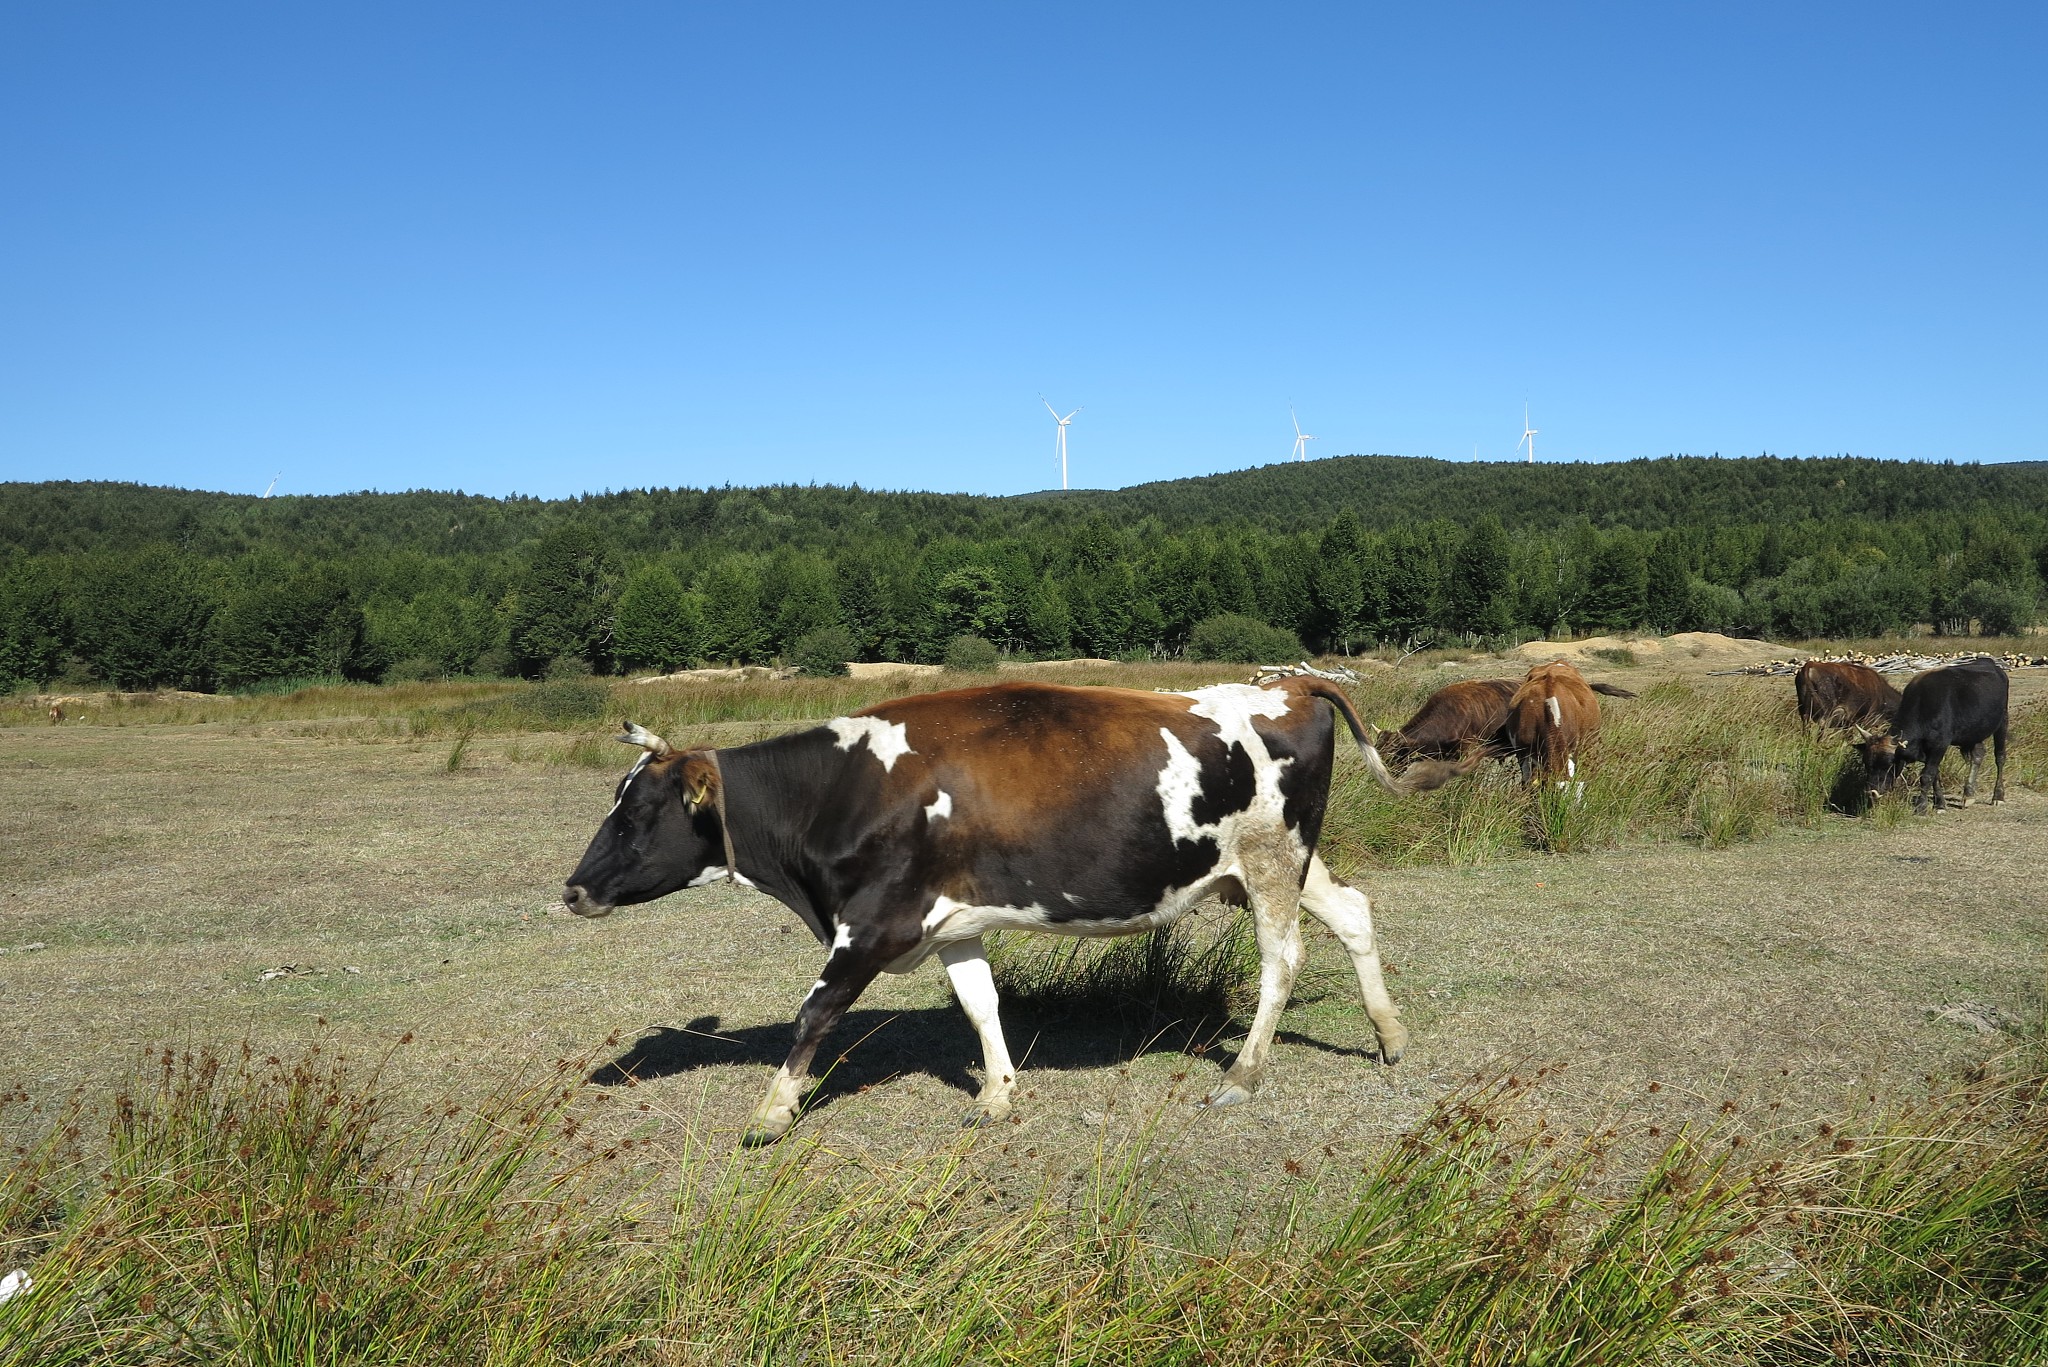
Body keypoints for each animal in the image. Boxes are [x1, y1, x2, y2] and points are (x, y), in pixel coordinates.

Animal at [561, 679, 1408, 1146]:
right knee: (1355, 912)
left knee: (1282, 959)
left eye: (638, 814)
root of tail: (1289, 683)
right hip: (1284, 864)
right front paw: (998, 1092)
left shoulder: (874, 923)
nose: (572, 889)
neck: (839, 790)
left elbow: (814, 1012)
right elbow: (980, 1004)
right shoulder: (951, 925)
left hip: (1269, 863)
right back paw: (1389, 1035)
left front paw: (771, 1110)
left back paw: (1244, 1072)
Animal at [1853, 657, 2008, 811]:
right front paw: (1940, 803)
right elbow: (1935, 775)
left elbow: (1927, 775)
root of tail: (1989, 662)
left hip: (2002, 723)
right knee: (1978, 755)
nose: (1872, 792)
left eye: (1889, 764)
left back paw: (1998, 796)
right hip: (1973, 733)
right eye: (1866, 763)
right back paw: (1968, 795)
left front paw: (1921, 806)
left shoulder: (1939, 745)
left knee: (2000, 757)